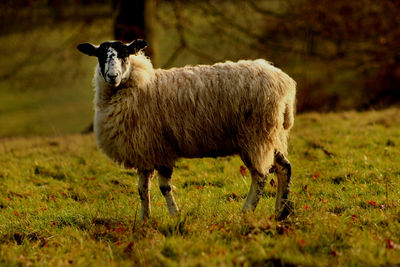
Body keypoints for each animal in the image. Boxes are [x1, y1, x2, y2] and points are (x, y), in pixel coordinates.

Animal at [76, 39, 296, 220]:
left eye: (125, 54)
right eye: (100, 55)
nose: (112, 76)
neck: (138, 85)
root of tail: (284, 83)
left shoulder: (160, 148)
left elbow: (164, 187)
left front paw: (175, 216)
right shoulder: (143, 150)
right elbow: (142, 189)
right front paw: (145, 219)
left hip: (255, 135)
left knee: (261, 176)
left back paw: (246, 211)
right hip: (271, 133)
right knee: (284, 167)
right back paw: (281, 211)